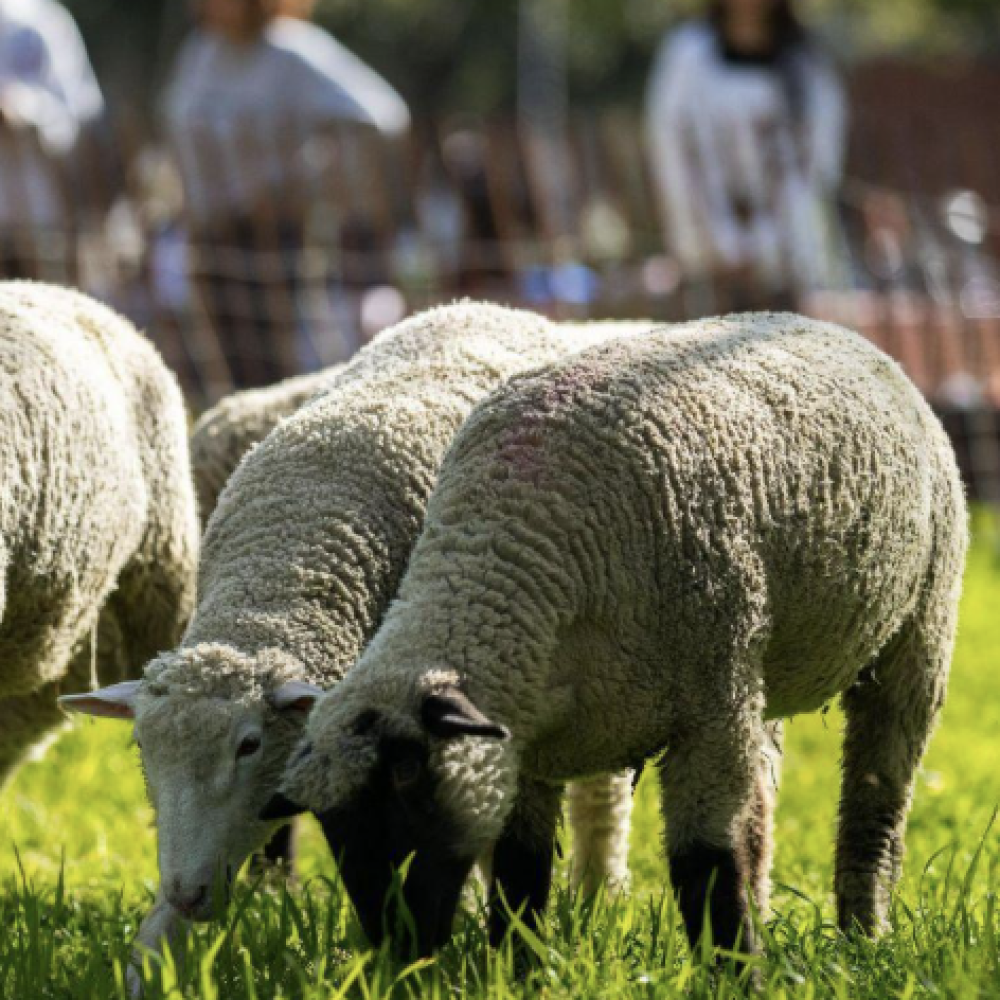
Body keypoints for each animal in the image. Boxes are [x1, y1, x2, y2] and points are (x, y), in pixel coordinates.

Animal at [63, 303, 649, 979]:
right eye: (141, 746)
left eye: (249, 745)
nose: (187, 892)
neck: (282, 565)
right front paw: (148, 960)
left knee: (602, 793)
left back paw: (601, 889)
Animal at [269, 312, 968, 961]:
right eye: (334, 831)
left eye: (407, 777)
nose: (398, 952)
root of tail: (822, 324)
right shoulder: (527, 745)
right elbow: (520, 876)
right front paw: (516, 970)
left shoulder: (709, 711)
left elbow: (706, 869)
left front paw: (733, 970)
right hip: (760, 674)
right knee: (763, 804)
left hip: (917, 639)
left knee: (876, 803)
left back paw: (863, 937)